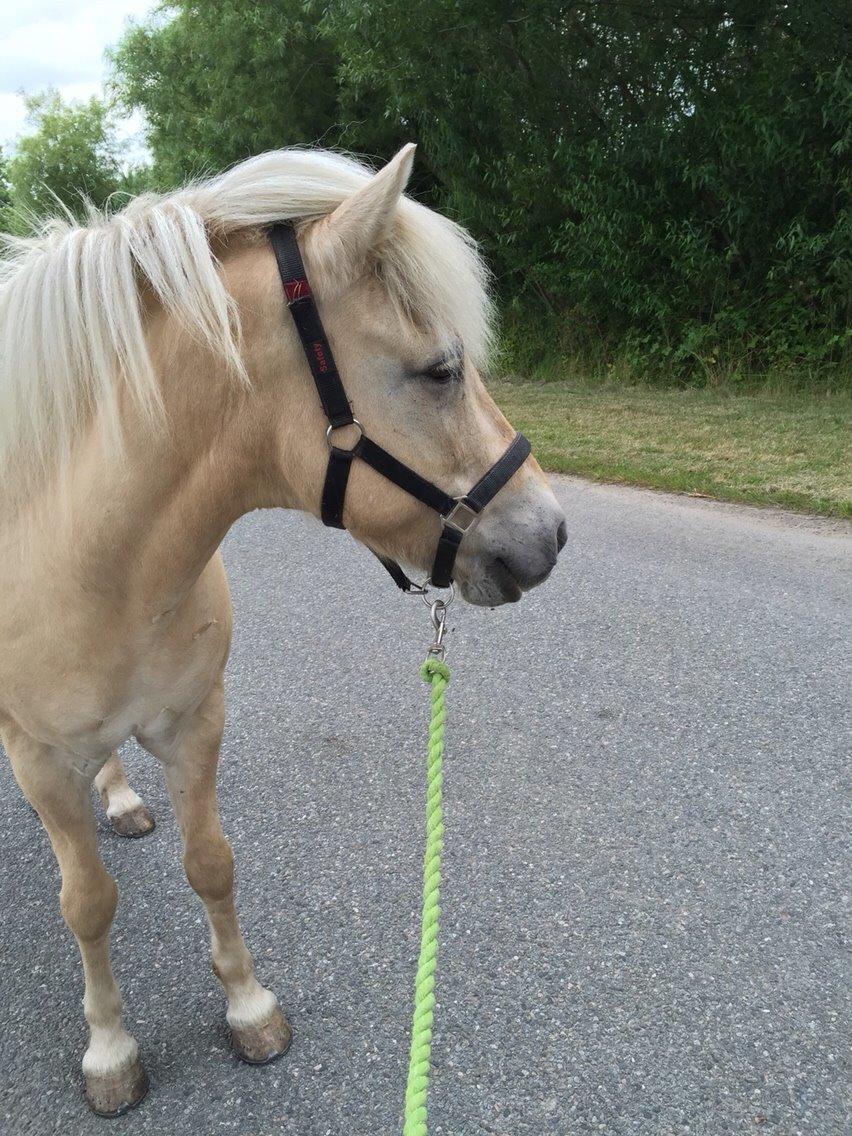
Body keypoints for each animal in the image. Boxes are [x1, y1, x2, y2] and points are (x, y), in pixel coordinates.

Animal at [0, 144, 570, 1117]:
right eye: (439, 370)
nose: (551, 534)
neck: (85, 556)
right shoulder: (38, 761)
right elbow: (88, 903)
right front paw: (110, 1050)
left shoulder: (195, 721)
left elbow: (212, 863)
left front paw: (247, 1005)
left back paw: (120, 796)